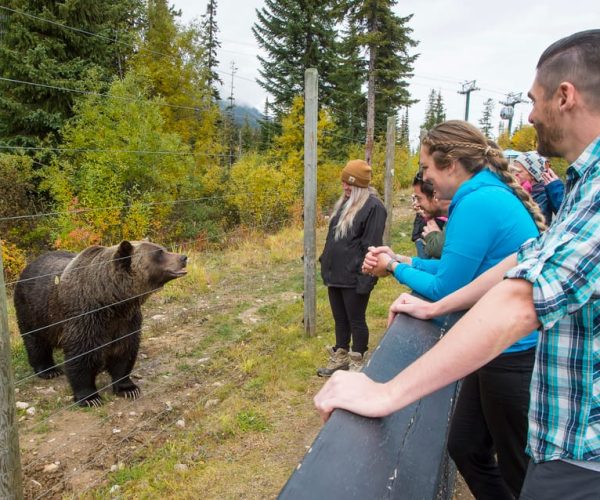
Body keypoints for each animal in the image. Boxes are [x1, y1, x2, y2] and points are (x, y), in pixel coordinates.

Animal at [14, 241, 188, 406]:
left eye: (163, 248)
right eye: (159, 253)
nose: (183, 258)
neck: (111, 301)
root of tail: (30, 264)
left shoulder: (126, 320)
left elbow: (124, 350)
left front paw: (128, 388)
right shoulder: (86, 318)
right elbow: (82, 356)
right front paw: (90, 398)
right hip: (33, 310)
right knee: (35, 341)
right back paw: (48, 370)